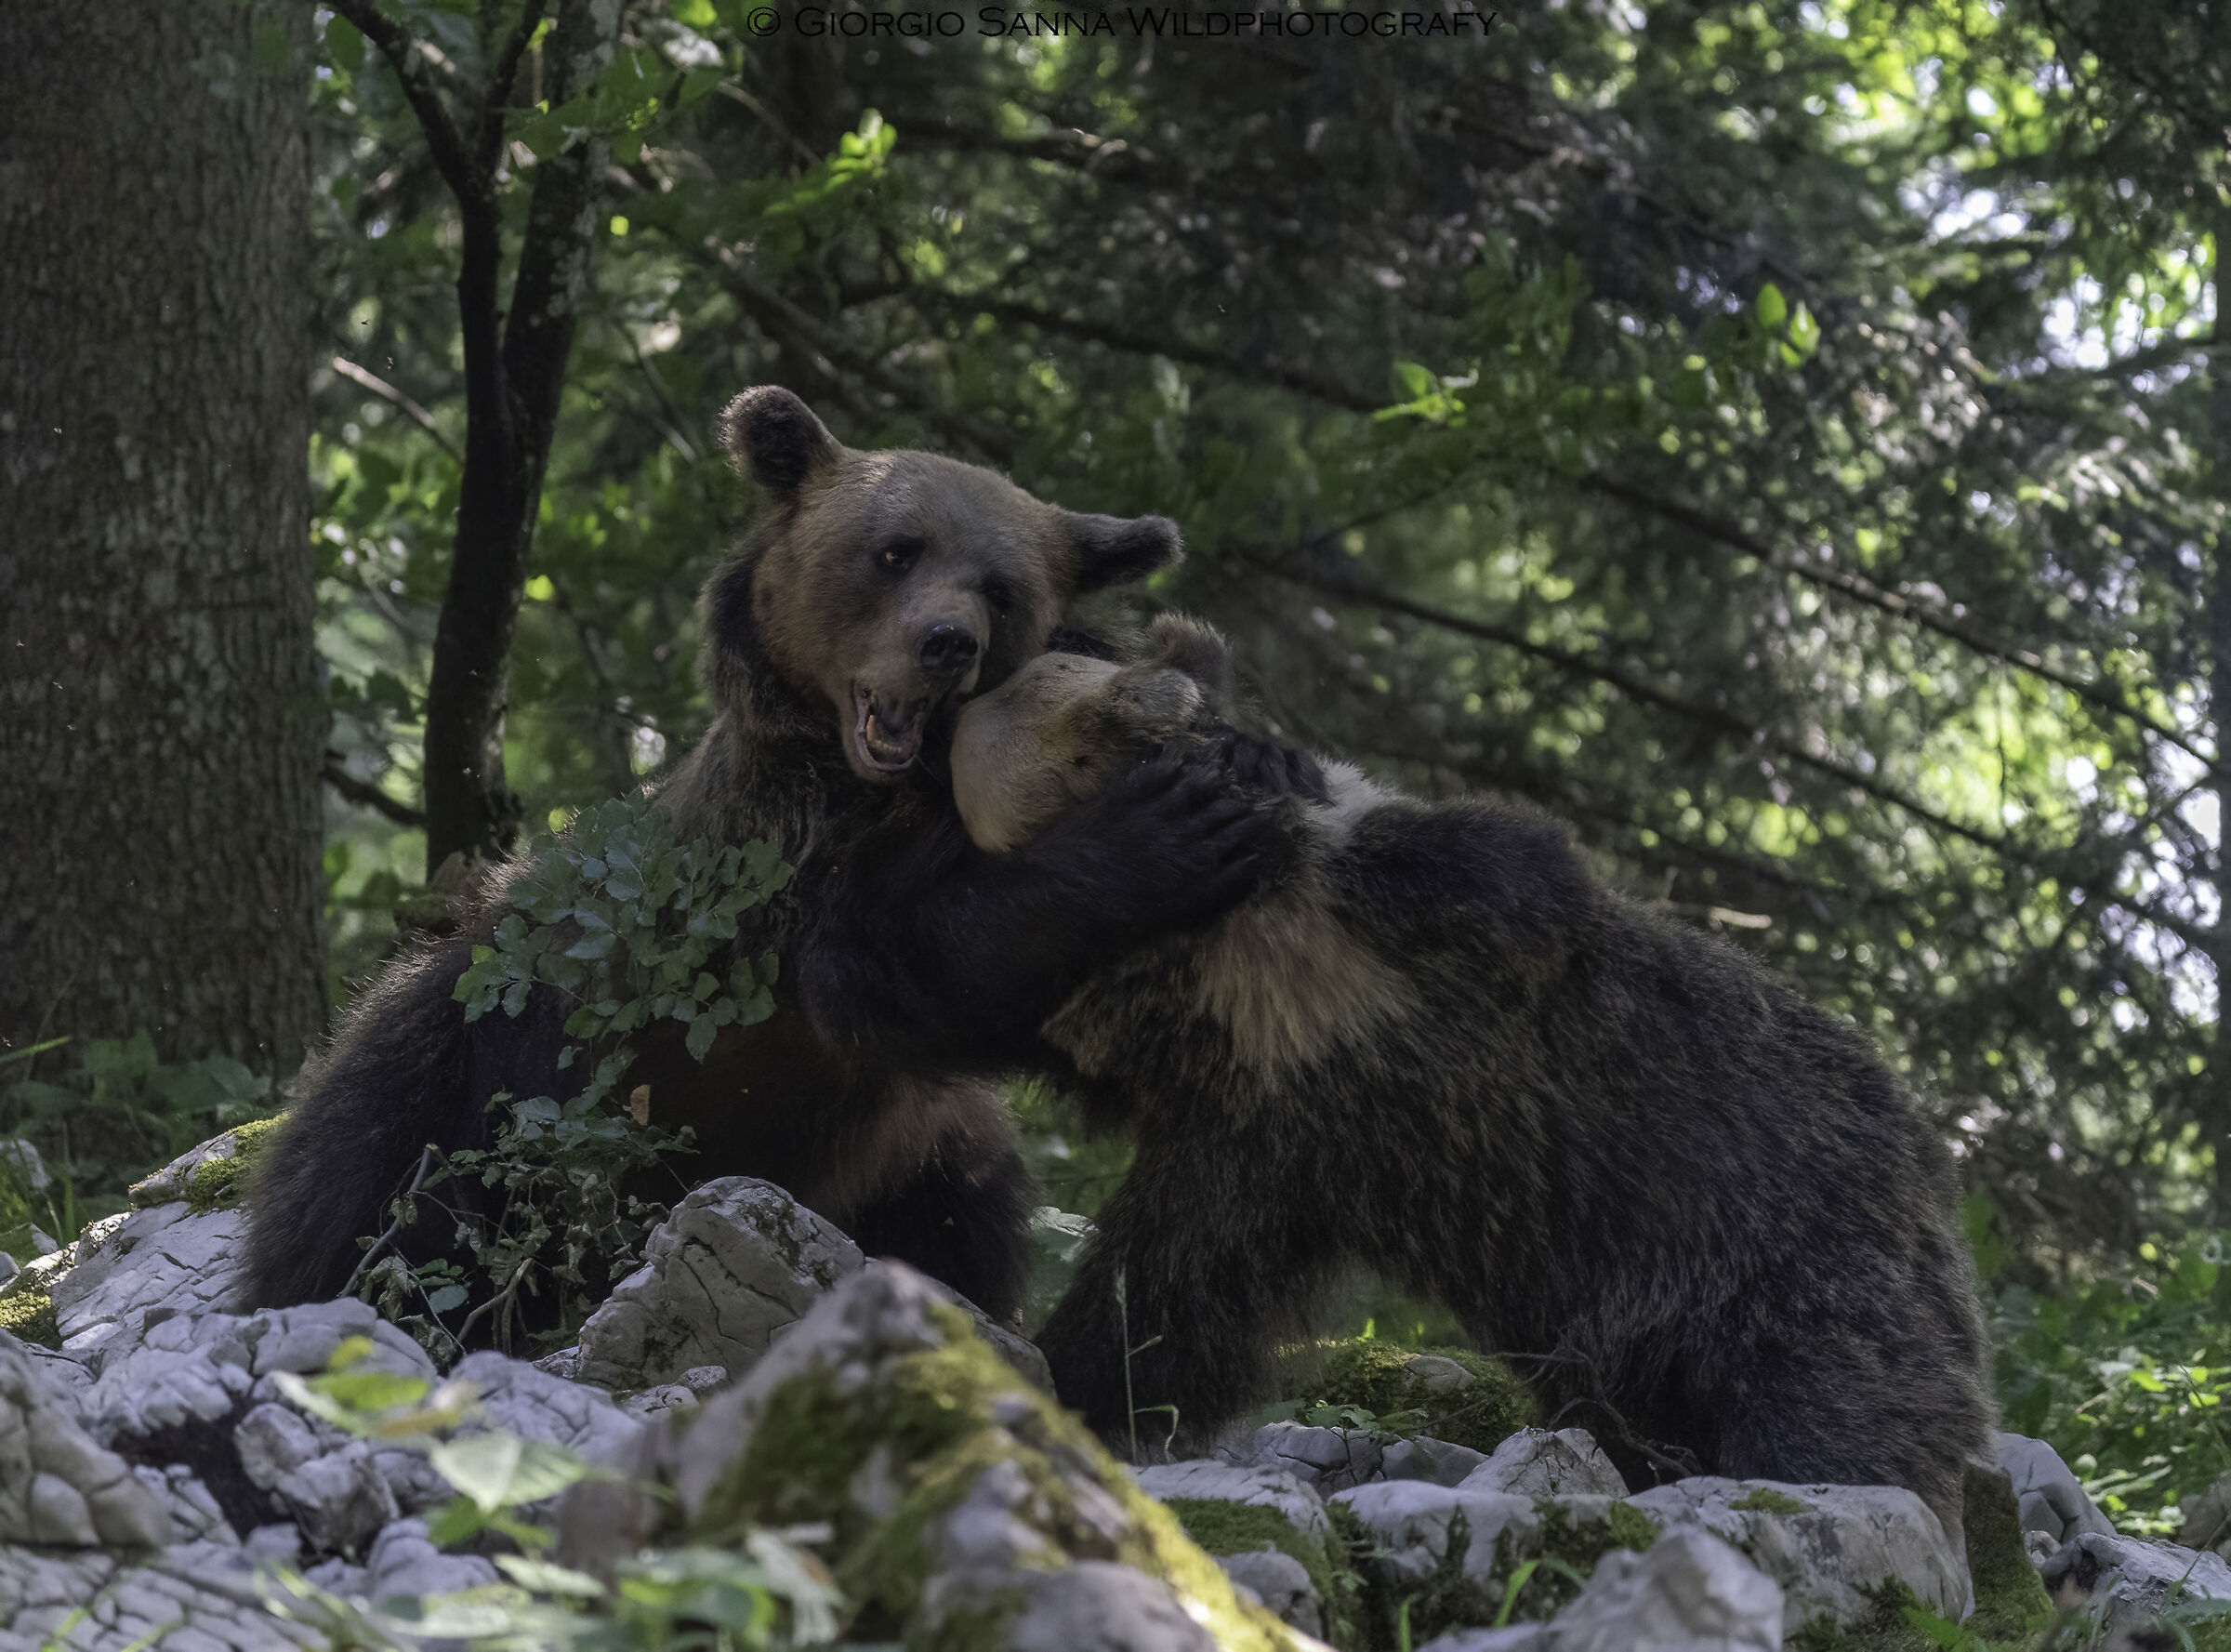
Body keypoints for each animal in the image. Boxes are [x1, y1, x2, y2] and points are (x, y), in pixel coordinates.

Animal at [241, 389, 1287, 1329]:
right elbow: (915, 955)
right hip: (473, 1058)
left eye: (1002, 586)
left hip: (905, 1149)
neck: (878, 782)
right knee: (373, 1196)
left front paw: (1248, 758)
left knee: (968, 1209)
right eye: (897, 550)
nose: (946, 641)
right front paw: (1162, 831)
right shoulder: (766, 880)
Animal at [946, 613, 1995, 1535]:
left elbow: (1520, 872)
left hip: (1803, 1263)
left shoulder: (1410, 920)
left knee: (1842, 1406)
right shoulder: (1244, 1122)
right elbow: (1168, 1288)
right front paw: (1079, 1379)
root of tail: (1931, 1171)